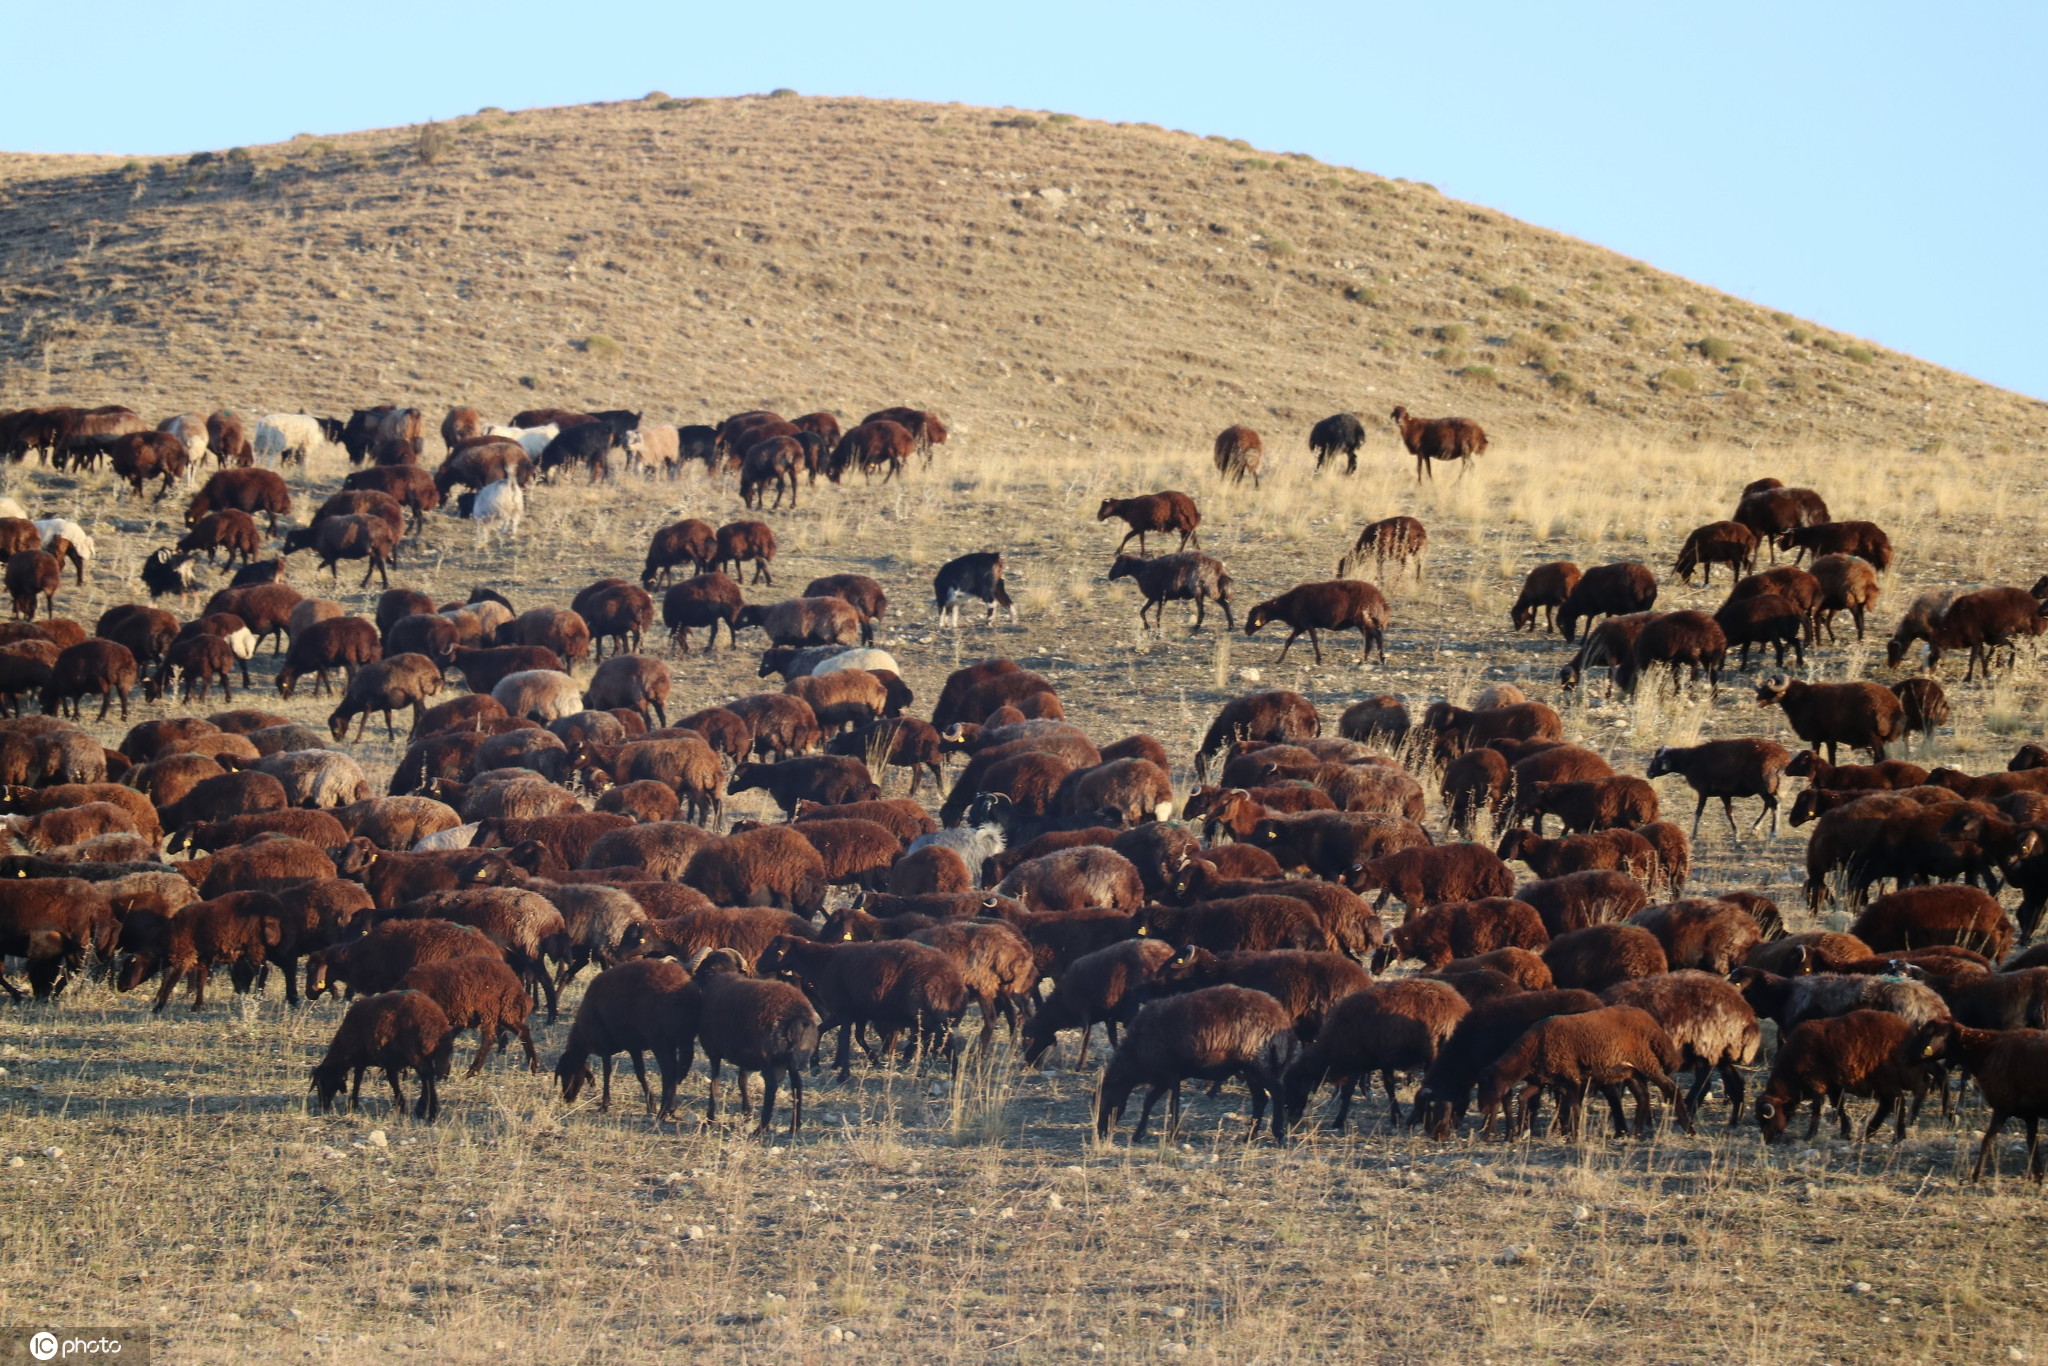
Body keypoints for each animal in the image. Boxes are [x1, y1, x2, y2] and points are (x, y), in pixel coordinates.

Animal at [309, 995, 458, 1122]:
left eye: (321, 1082)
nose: (322, 1105)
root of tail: (436, 1023)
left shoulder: (361, 1059)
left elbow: (358, 1080)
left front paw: (352, 1104)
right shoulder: (389, 1061)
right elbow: (392, 1080)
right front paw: (401, 1105)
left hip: (415, 1052)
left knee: (427, 1076)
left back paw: (432, 1113)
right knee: (427, 1077)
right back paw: (422, 1110)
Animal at [1228, 577, 1392, 663]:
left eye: (1253, 616)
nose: (1246, 631)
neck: (1287, 604)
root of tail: (1381, 600)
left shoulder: (1307, 624)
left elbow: (1314, 641)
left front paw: (1318, 659)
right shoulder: (1300, 626)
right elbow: (1288, 641)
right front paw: (1279, 660)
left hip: (1363, 619)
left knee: (1376, 636)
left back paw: (1380, 659)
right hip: (1362, 621)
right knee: (1370, 638)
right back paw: (1364, 660)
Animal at [1753, 675, 1908, 770]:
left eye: (1769, 688)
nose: (1757, 699)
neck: (1801, 697)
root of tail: (1895, 708)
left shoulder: (1816, 738)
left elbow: (1815, 753)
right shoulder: (1830, 739)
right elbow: (1832, 758)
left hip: (1874, 737)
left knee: (1880, 757)